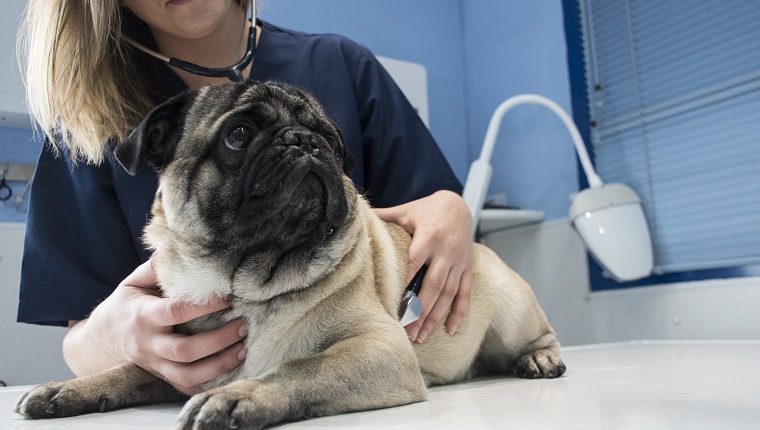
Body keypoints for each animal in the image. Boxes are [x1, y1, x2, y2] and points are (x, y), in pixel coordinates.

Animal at [16, 80, 564, 426]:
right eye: (237, 135)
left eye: (331, 141)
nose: (304, 141)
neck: (246, 282)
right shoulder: (174, 364)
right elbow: (130, 369)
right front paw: (67, 390)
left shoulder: (380, 348)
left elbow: (301, 368)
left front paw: (238, 398)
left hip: (511, 310)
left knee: (539, 335)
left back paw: (539, 359)